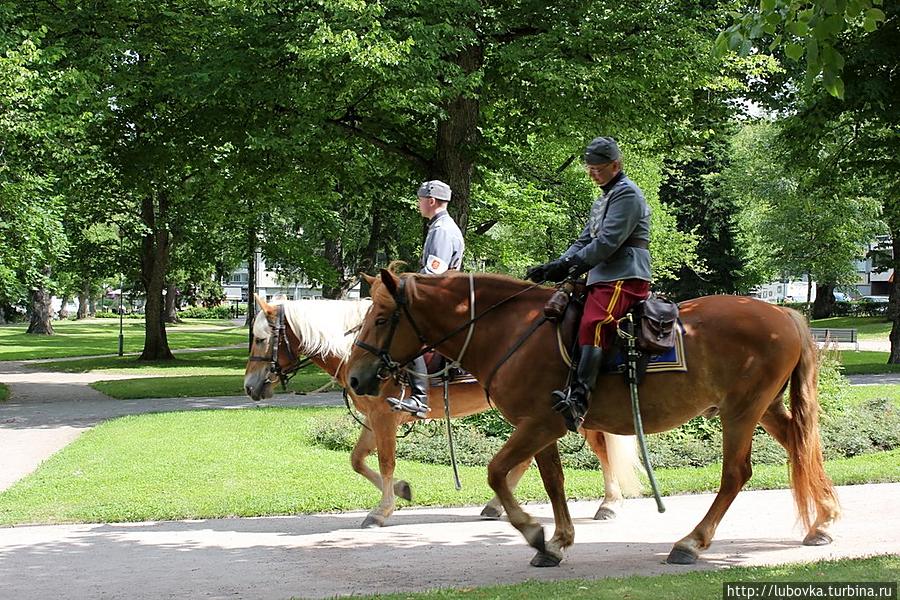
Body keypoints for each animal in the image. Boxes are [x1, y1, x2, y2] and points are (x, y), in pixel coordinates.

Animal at [243, 292, 644, 528]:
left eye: (261, 339)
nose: (249, 387)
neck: (360, 348)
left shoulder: (385, 418)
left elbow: (385, 462)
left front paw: (382, 510)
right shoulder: (373, 419)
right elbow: (357, 460)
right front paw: (401, 491)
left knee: (600, 447)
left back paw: (609, 504)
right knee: (528, 457)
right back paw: (496, 505)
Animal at [348, 272, 840, 568]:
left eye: (382, 317)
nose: (355, 376)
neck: (514, 330)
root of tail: (783, 312)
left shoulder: (540, 423)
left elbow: (496, 471)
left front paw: (532, 531)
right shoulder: (540, 426)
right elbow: (552, 481)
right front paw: (558, 540)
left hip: (741, 412)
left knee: (736, 473)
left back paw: (691, 542)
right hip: (764, 408)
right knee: (799, 447)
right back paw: (822, 521)